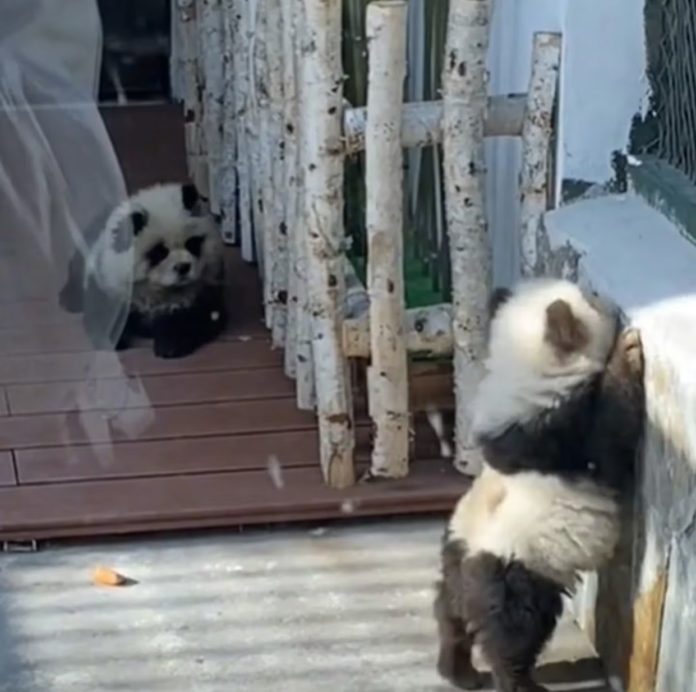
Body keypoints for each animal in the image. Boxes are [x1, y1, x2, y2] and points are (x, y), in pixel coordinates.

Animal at [59, 181, 227, 359]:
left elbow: (202, 316)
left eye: (192, 243)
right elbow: (102, 313)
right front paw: (114, 339)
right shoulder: (108, 279)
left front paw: (170, 344)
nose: (183, 268)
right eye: (159, 252)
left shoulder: (205, 287)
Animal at [434, 278, 645, 692]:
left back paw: (458, 670)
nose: (610, 303)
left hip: (455, 553)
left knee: (449, 619)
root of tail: (468, 576)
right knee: (512, 634)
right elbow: (613, 434)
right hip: (517, 571)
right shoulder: (562, 435)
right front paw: (628, 351)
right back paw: (519, 681)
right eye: (592, 297)